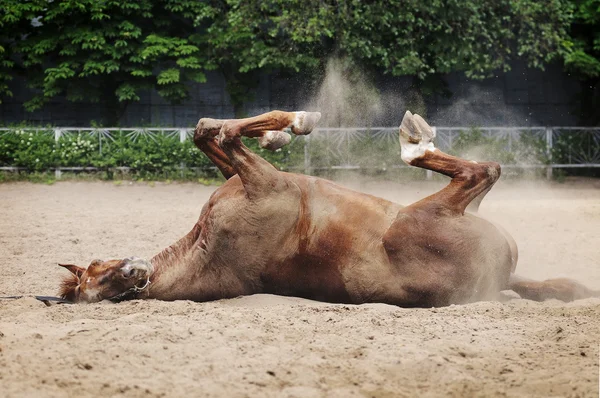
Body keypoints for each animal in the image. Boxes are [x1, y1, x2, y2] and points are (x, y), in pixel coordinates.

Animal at [58, 110, 596, 306]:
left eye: (98, 266)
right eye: (99, 289)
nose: (134, 270)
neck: (206, 249)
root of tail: (496, 277)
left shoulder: (246, 176)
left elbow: (208, 132)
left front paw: (278, 133)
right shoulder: (265, 183)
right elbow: (225, 132)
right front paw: (296, 121)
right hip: (422, 218)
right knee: (483, 171)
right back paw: (413, 141)